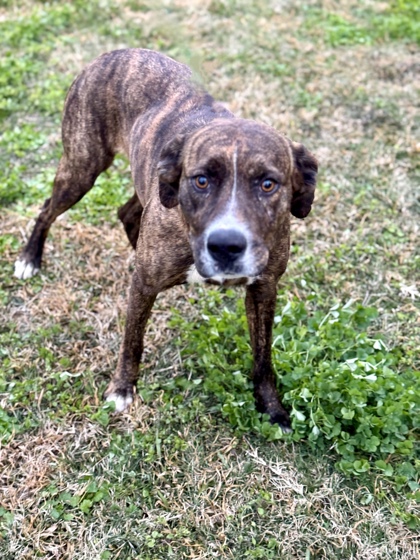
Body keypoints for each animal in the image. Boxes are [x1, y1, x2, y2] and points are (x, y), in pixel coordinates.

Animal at [15, 49, 318, 434]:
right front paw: (122, 389)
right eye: (201, 180)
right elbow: (132, 341)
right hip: (81, 168)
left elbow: (263, 357)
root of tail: (113, 52)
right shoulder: (144, 285)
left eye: (268, 184)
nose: (226, 246)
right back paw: (29, 258)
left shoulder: (264, 288)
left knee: (127, 212)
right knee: (47, 209)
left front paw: (273, 410)